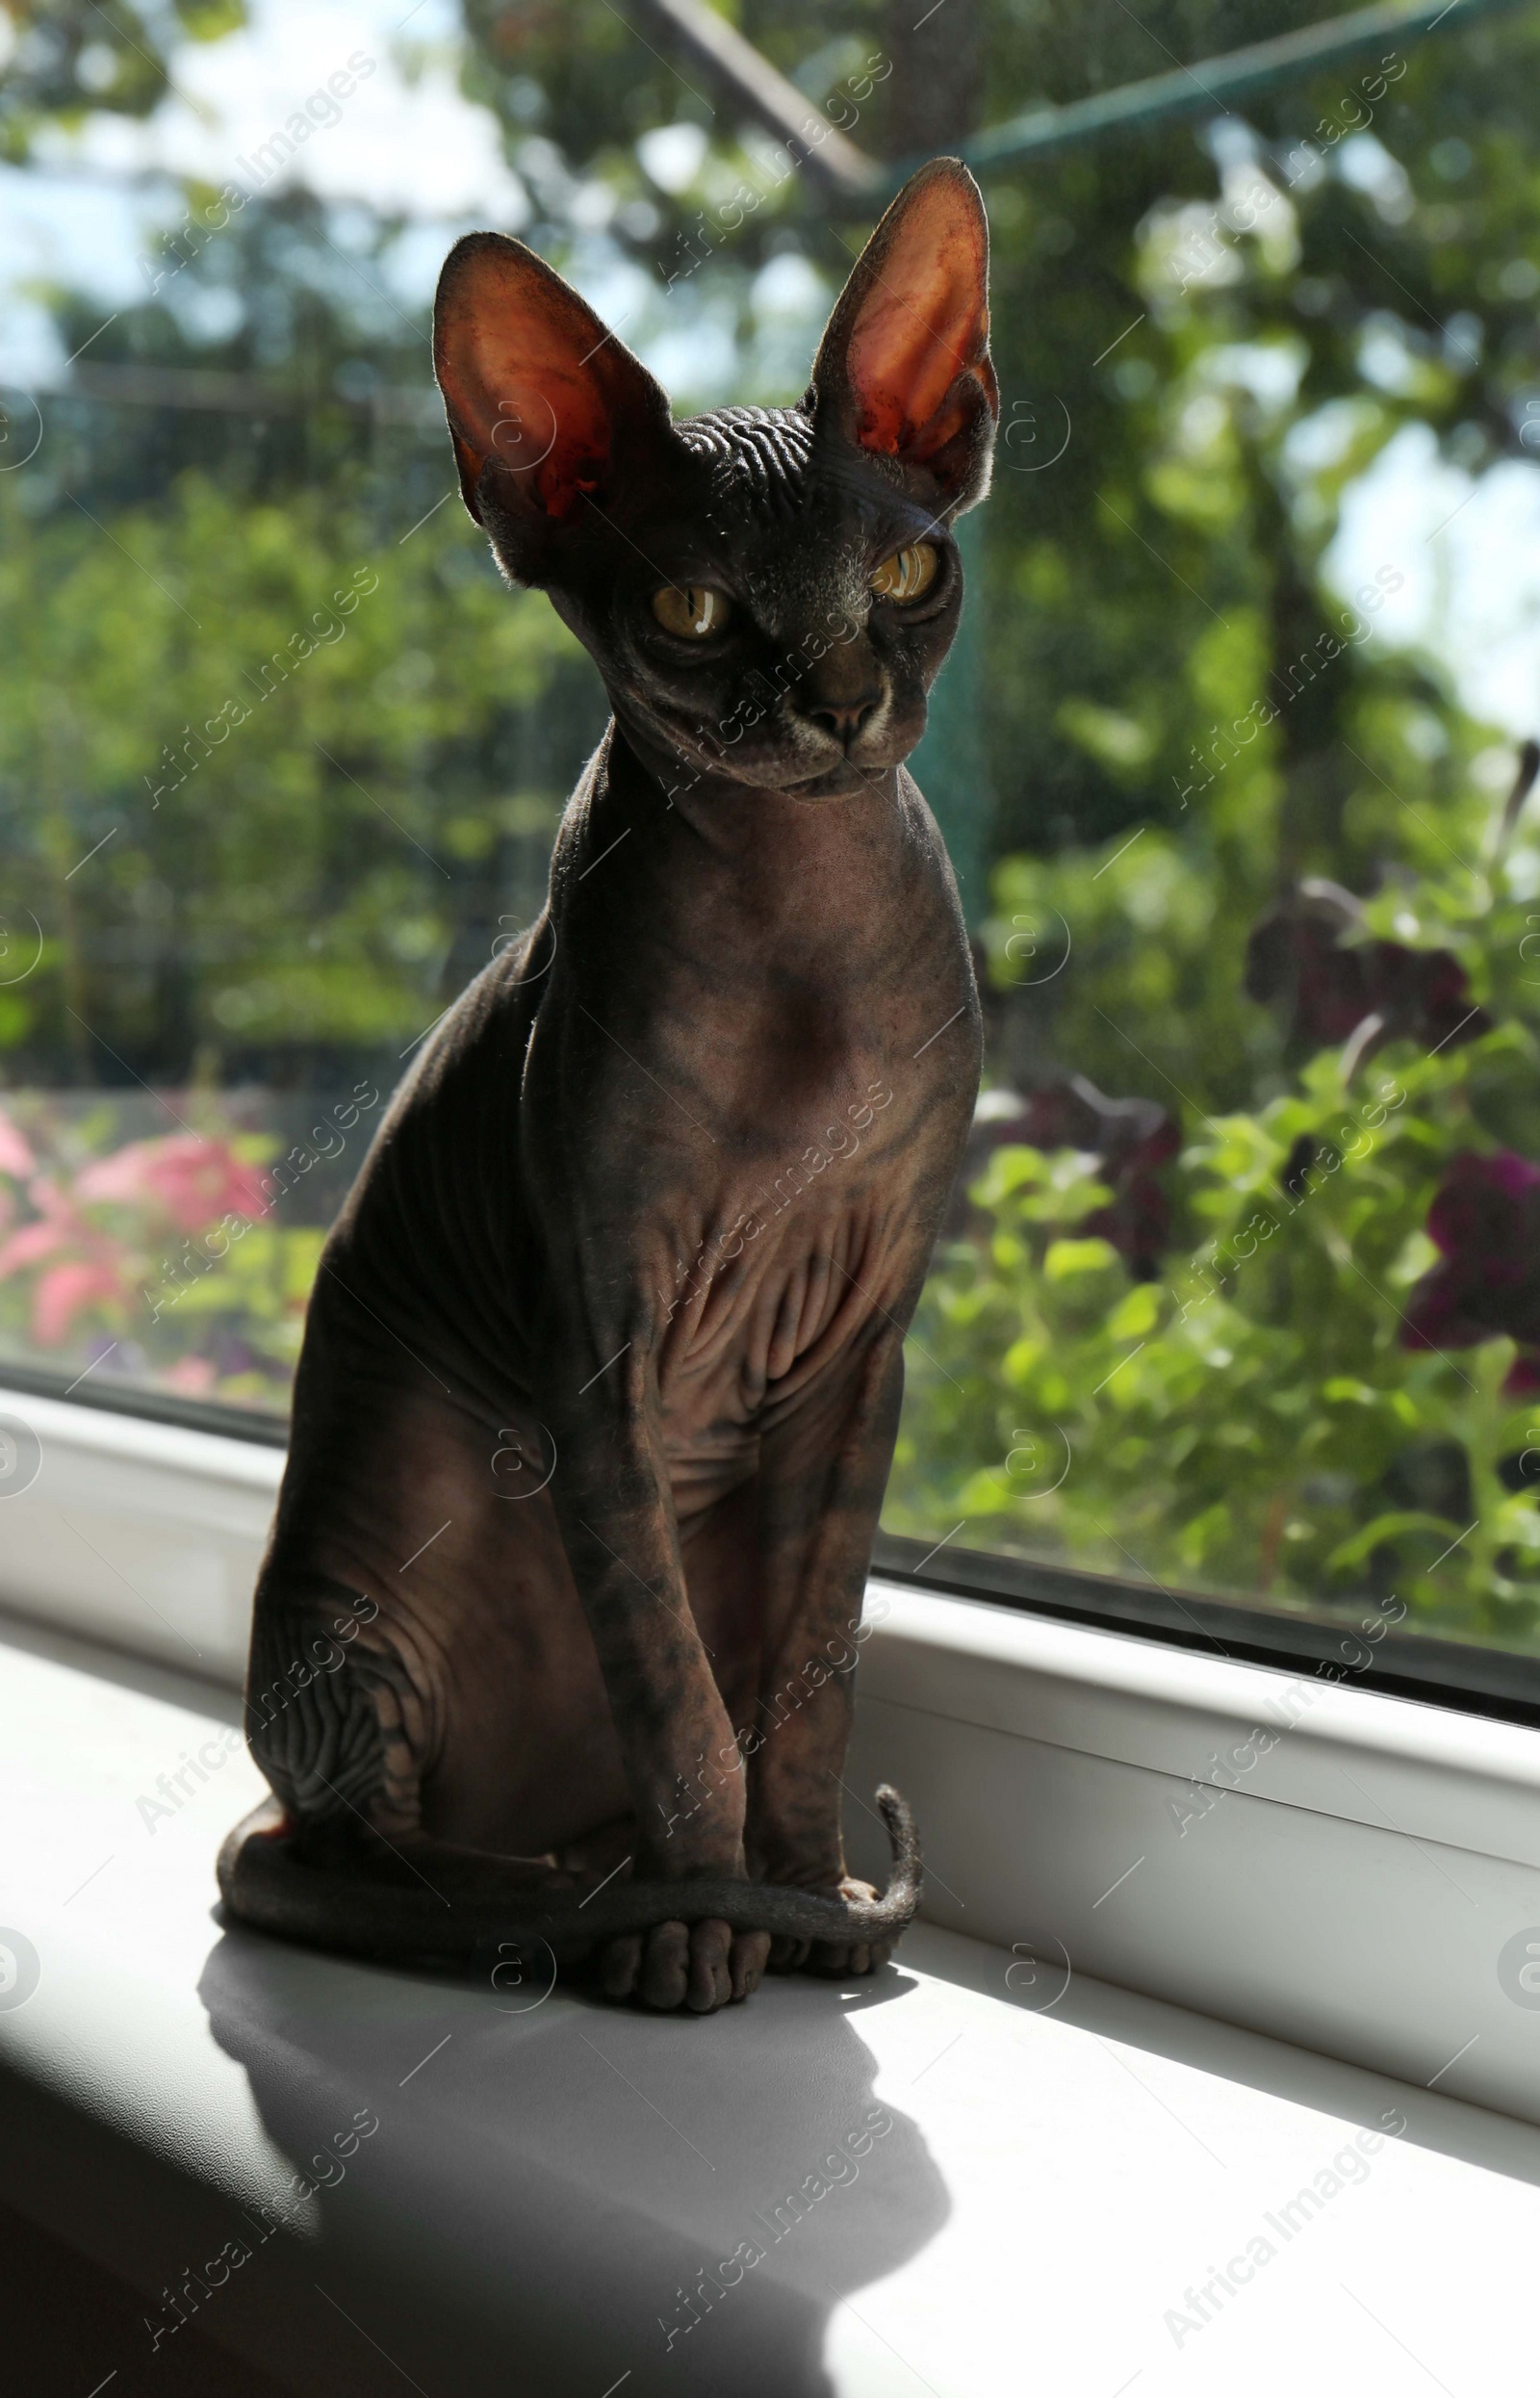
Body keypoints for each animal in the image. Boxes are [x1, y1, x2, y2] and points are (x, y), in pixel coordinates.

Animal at [221, 159, 1002, 2014]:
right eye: (696, 610)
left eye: (908, 566)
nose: (842, 700)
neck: (804, 937)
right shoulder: (598, 1346)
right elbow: (673, 1689)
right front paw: (709, 1921)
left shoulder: (866, 1349)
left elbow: (808, 1680)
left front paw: (799, 1891)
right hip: (358, 1583)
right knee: (339, 1845)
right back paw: (585, 1903)